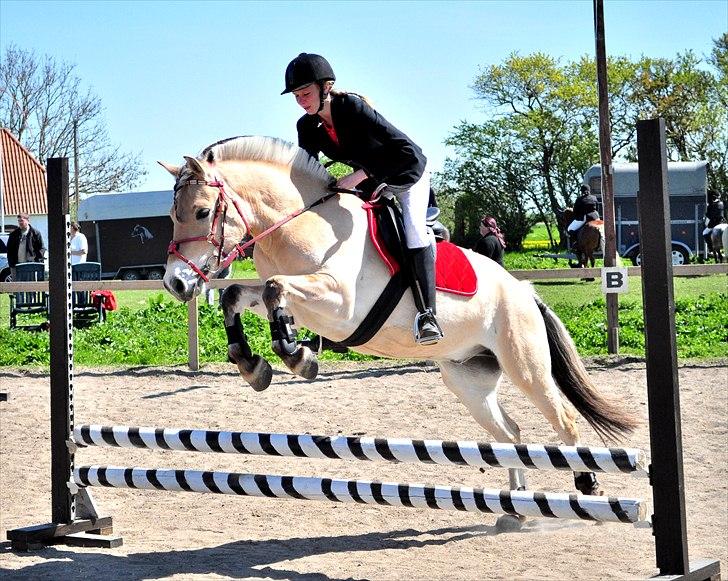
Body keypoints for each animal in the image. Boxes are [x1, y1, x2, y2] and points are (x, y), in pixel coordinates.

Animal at [159, 136, 636, 524]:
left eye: (202, 212)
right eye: (172, 215)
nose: (176, 284)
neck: (301, 223)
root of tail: (523, 291)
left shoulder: (339, 304)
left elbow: (276, 289)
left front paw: (297, 355)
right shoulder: (299, 301)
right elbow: (235, 295)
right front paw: (253, 365)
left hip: (526, 366)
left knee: (565, 423)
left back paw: (587, 486)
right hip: (467, 379)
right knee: (509, 436)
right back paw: (514, 509)